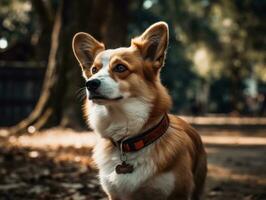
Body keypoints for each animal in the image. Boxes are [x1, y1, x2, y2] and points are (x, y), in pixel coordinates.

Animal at [72, 21, 208, 200]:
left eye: (120, 68)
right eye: (94, 70)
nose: (90, 84)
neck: (129, 141)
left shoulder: (177, 193)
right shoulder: (114, 195)